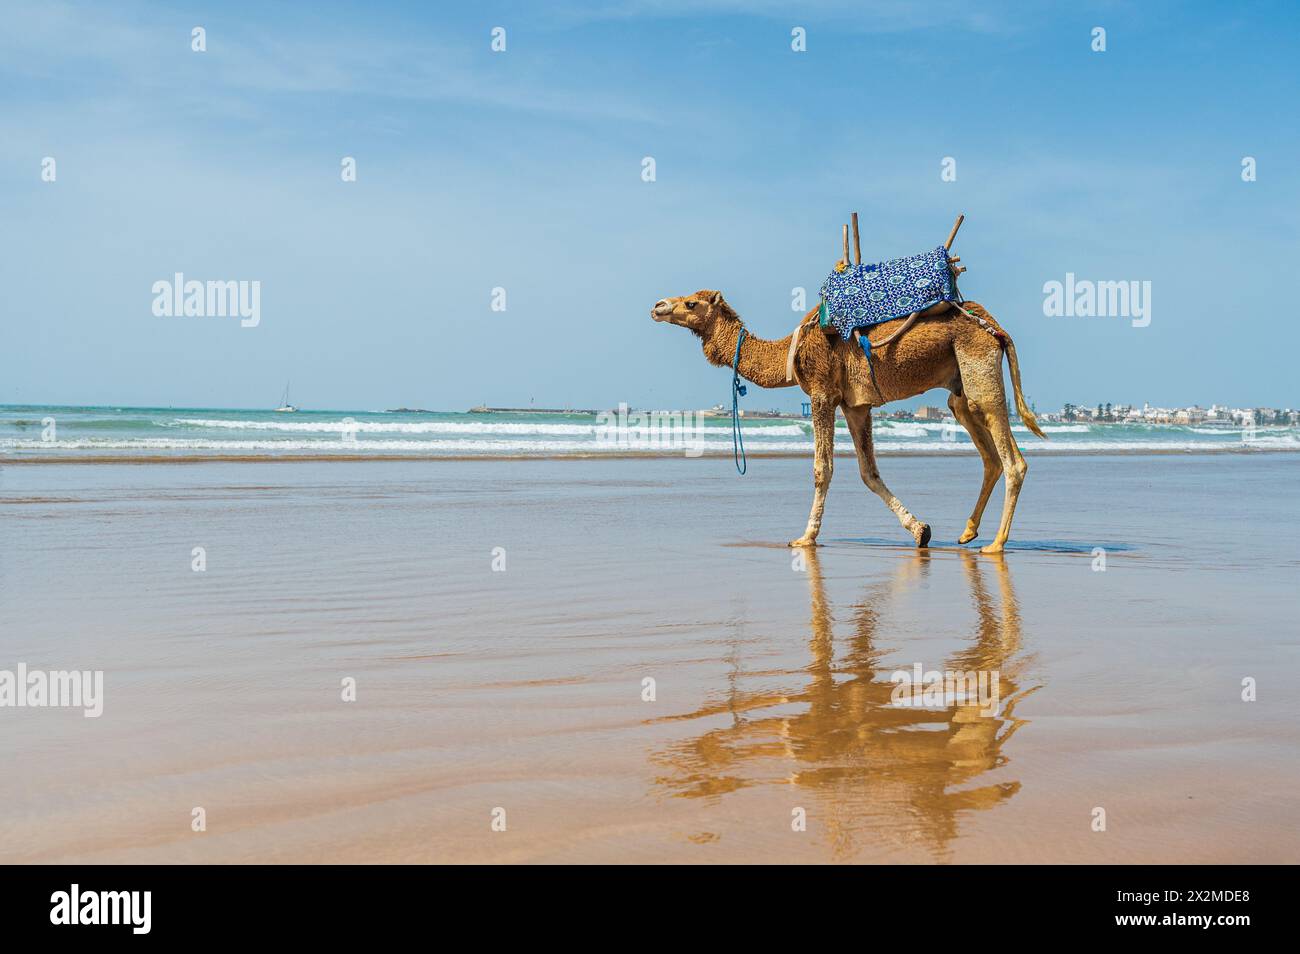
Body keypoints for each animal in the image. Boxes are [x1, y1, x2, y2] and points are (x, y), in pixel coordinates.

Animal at [650, 295, 1045, 556]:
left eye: (691, 303)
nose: (658, 306)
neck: (790, 352)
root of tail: (997, 329)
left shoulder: (822, 391)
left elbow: (822, 469)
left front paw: (805, 538)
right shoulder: (855, 405)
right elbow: (869, 472)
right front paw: (920, 531)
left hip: (977, 363)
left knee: (1012, 458)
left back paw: (995, 544)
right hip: (959, 388)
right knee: (986, 450)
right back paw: (966, 533)